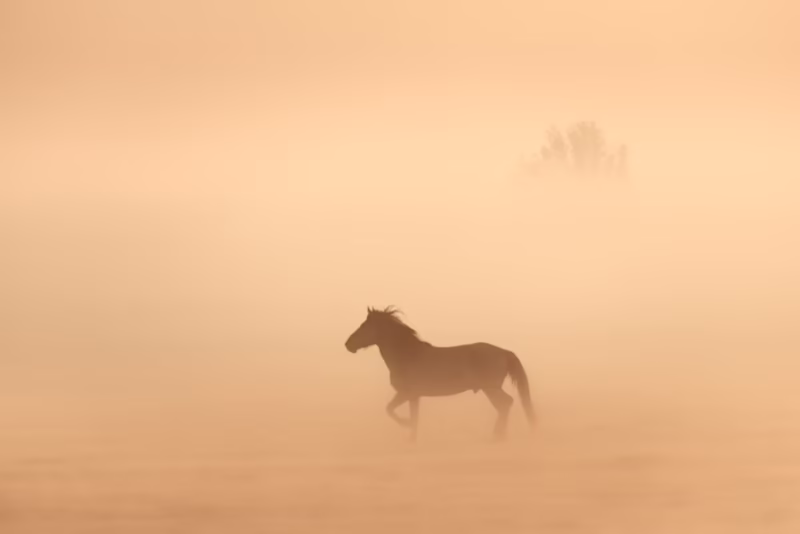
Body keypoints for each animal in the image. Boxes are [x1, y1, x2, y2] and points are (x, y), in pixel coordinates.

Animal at [344, 306, 536, 441]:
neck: (408, 356)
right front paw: (411, 437)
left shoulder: (407, 394)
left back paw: (498, 437)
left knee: (506, 403)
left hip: (491, 388)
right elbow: (409, 416)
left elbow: (392, 411)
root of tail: (504, 352)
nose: (348, 344)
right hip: (490, 389)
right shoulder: (412, 396)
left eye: (364, 326)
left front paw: (406, 427)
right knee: (504, 406)